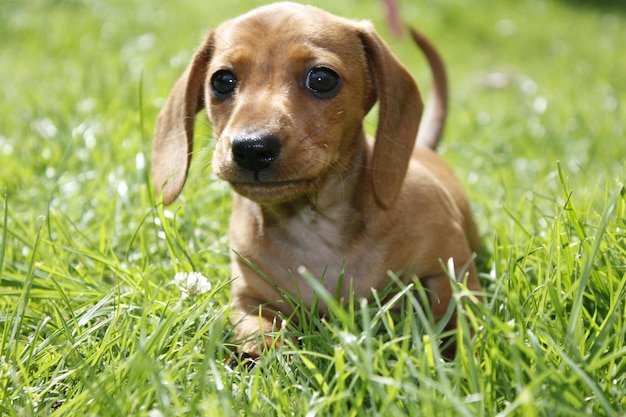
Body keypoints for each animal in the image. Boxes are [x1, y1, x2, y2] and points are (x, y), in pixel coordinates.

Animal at [150, 1, 478, 356]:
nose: (251, 148)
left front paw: (454, 354)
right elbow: (261, 331)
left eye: (321, 78)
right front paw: (262, 354)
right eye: (222, 80)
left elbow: (457, 318)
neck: (314, 225)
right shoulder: (249, 300)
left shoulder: (451, 267)